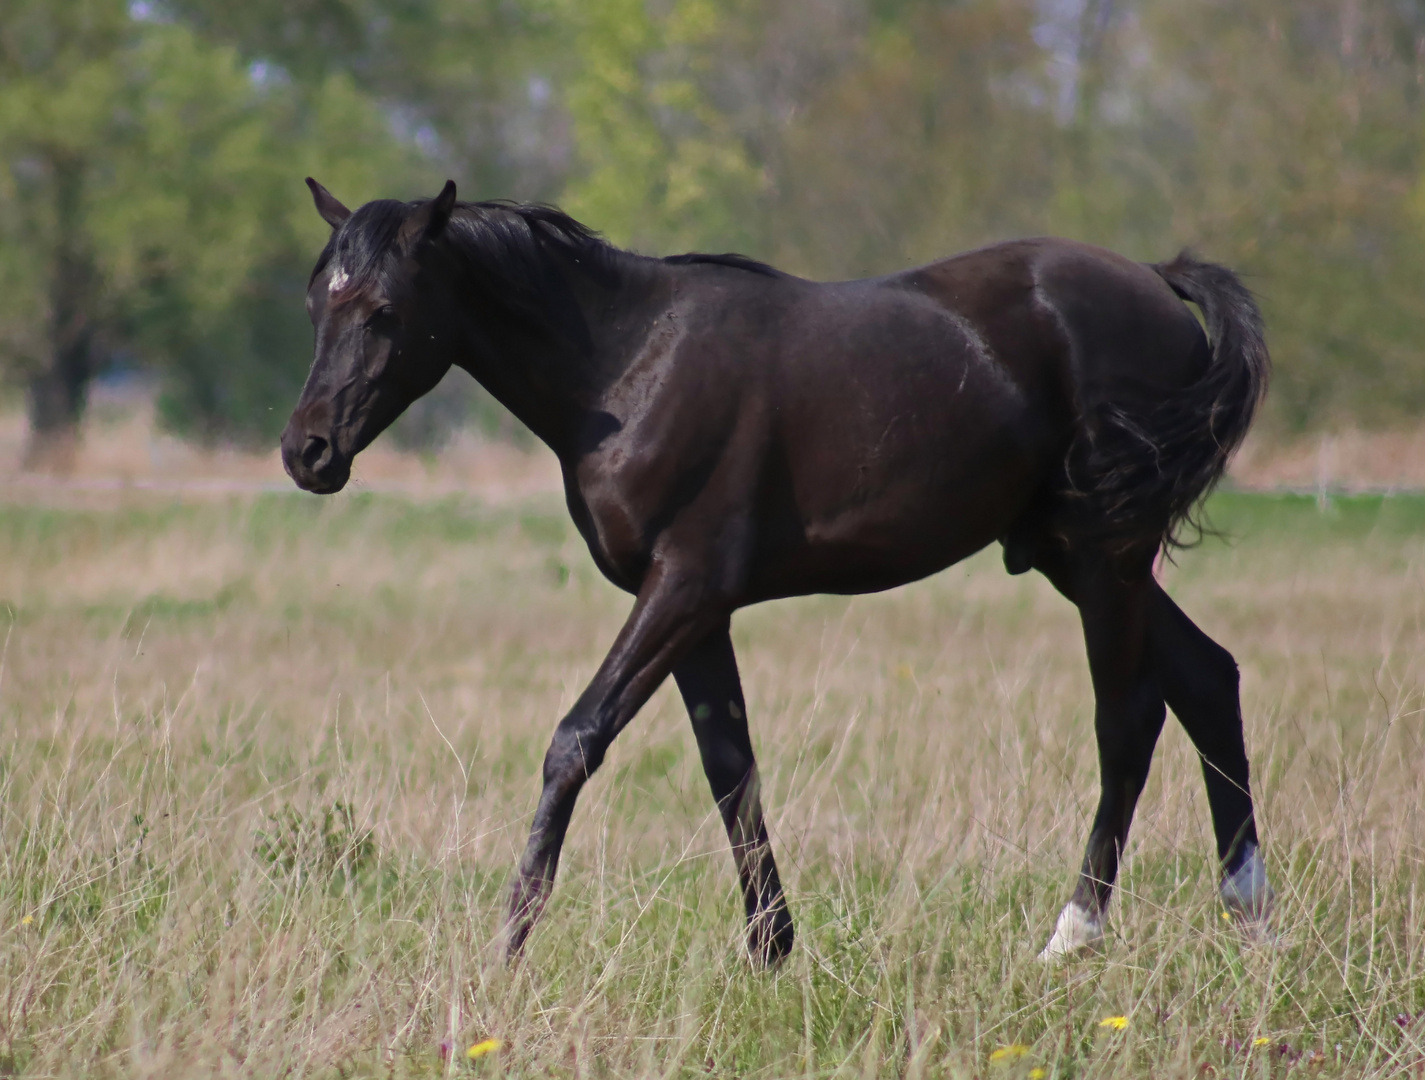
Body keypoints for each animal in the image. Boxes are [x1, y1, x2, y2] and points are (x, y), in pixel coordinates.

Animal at [283, 177, 1276, 963]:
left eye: (383, 311)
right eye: (315, 306)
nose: (307, 451)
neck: (625, 365)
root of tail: (1156, 282)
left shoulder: (683, 590)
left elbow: (576, 741)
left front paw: (509, 945)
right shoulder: (695, 611)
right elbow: (731, 768)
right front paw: (771, 948)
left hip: (1107, 557)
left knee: (1128, 714)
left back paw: (1073, 935)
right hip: (1078, 558)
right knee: (1205, 678)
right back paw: (1250, 916)